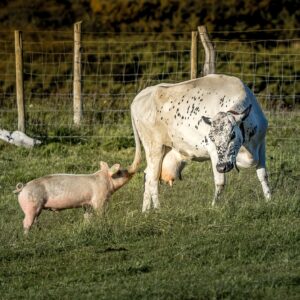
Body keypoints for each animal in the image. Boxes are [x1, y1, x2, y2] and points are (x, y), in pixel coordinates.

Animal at [129, 74, 272, 212]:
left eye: (232, 135)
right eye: (212, 138)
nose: (222, 167)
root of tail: (140, 96)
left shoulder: (261, 145)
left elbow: (263, 176)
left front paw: (269, 200)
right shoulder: (214, 153)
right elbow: (220, 183)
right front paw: (213, 206)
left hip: (164, 148)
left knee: (147, 175)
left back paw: (146, 211)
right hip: (154, 147)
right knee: (152, 179)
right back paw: (158, 209)